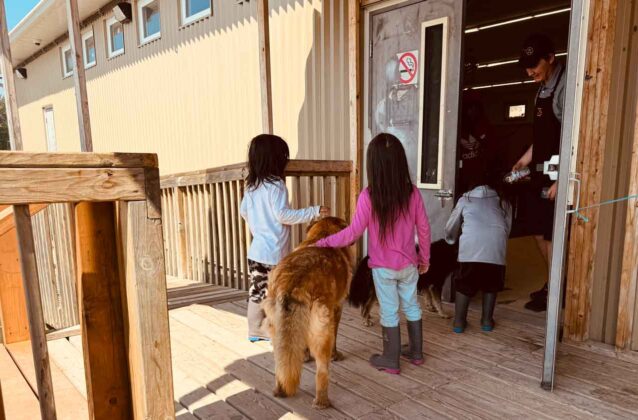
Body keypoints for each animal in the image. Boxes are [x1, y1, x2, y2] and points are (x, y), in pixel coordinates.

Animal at [264, 217, 356, 410]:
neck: (322, 234)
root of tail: (292, 282)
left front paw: (305, 356)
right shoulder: (337, 308)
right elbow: (336, 338)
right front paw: (336, 355)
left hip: (277, 332)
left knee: (281, 361)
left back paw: (280, 389)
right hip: (323, 332)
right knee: (322, 371)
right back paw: (322, 402)